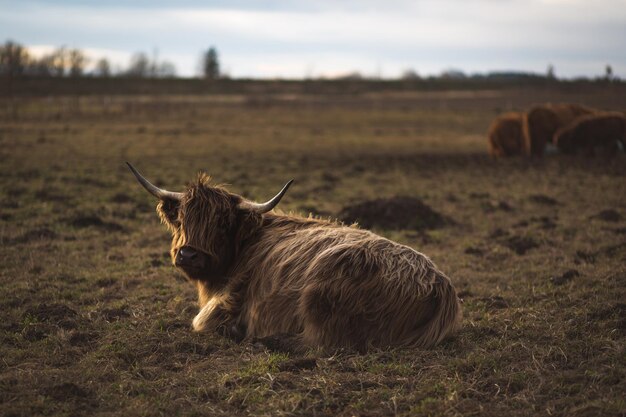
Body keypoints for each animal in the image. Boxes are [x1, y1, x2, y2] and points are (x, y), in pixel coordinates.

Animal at [127, 162, 460, 352]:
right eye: (182, 218)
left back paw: (265, 340)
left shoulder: (227, 301)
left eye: (221, 223)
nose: (188, 254)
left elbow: (199, 321)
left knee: (324, 343)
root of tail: (441, 286)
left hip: (322, 296)